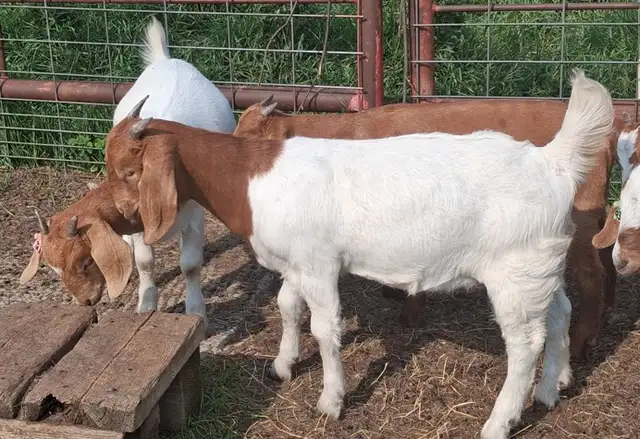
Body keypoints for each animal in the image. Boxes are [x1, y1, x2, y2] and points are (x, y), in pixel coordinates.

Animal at [19, 16, 236, 327]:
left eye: (87, 261)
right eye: (53, 269)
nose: (86, 302)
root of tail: (166, 60)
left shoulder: (194, 215)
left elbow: (190, 266)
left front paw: (197, 312)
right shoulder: (138, 225)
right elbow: (145, 262)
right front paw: (146, 305)